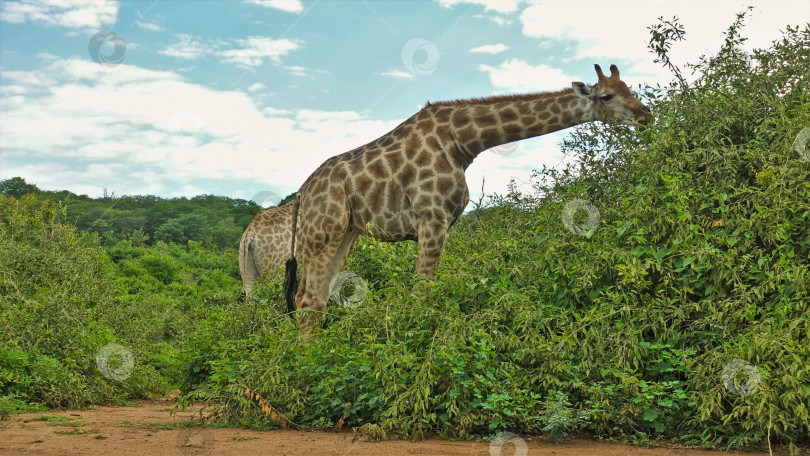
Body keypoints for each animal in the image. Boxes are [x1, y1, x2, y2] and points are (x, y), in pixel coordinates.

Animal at [284, 64, 652, 330]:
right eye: (606, 96)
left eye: (630, 88)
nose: (646, 116)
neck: (462, 141)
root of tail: (302, 194)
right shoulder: (432, 218)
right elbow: (421, 293)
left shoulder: (443, 223)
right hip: (322, 233)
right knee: (307, 300)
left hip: (347, 233)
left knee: (314, 297)